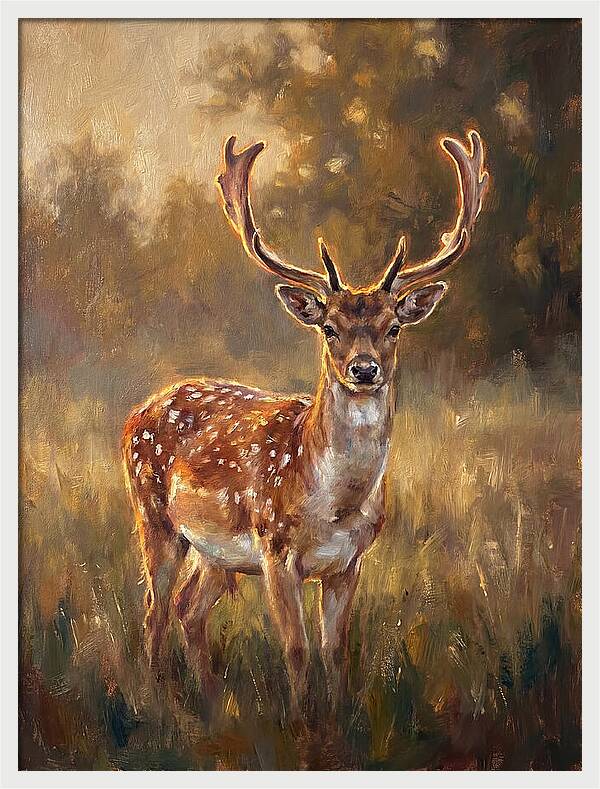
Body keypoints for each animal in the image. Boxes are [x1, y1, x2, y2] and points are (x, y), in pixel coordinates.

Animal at [122, 130, 488, 720]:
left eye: (392, 327)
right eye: (330, 328)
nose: (364, 369)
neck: (334, 507)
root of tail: (139, 410)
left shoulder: (349, 562)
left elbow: (334, 650)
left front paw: (336, 720)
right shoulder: (275, 550)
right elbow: (295, 649)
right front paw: (300, 723)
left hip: (216, 554)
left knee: (187, 608)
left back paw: (211, 701)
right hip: (154, 516)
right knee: (154, 610)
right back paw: (160, 702)